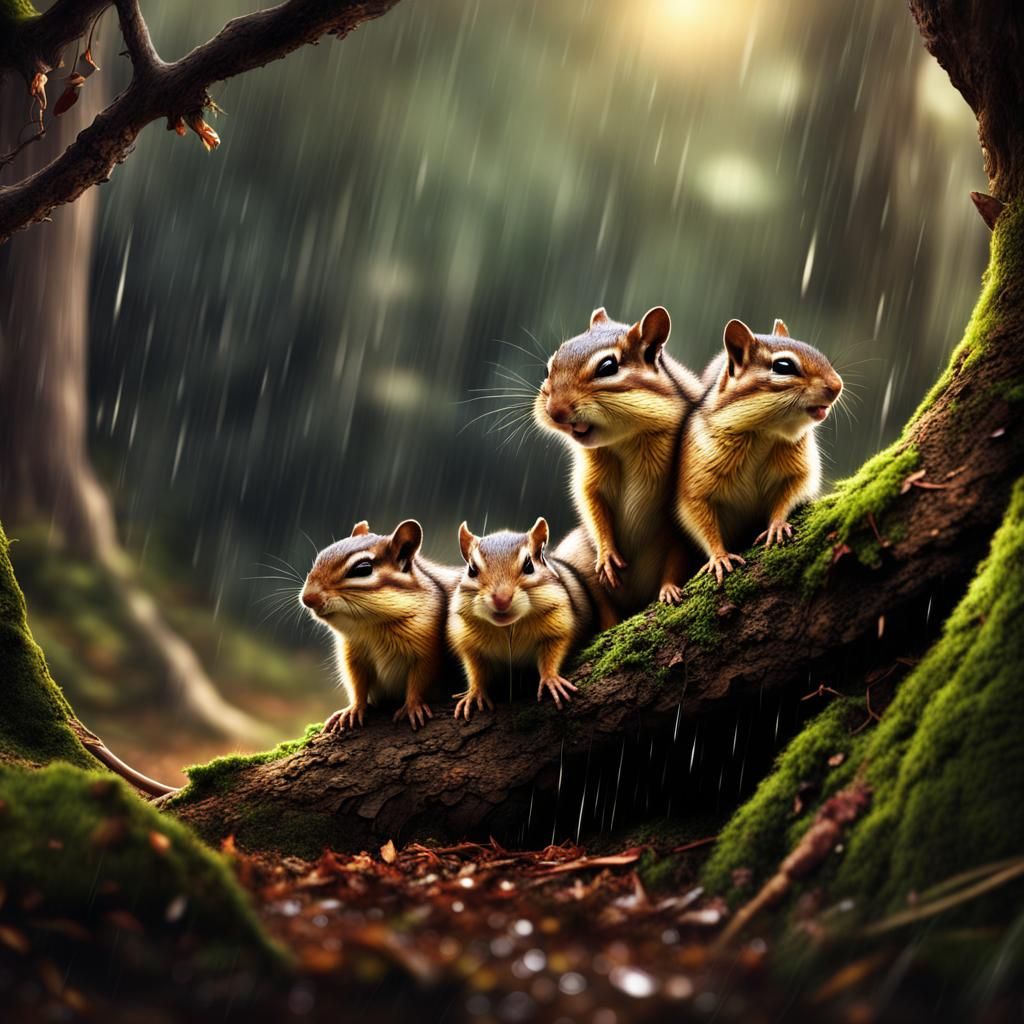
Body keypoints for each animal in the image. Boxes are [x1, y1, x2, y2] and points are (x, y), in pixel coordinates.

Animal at [301, 519, 458, 731]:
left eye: (362, 569)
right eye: (321, 556)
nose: (308, 598)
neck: (371, 627)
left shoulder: (428, 652)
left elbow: (419, 681)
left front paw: (412, 706)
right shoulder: (353, 656)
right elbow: (357, 684)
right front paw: (353, 709)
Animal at [447, 517, 593, 720]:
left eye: (529, 566)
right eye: (472, 570)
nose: (501, 599)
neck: (508, 627)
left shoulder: (558, 625)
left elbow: (552, 654)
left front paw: (551, 679)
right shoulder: (470, 644)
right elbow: (475, 669)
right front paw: (474, 693)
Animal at [534, 306, 702, 613]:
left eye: (608, 367)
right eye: (547, 369)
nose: (555, 411)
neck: (625, 441)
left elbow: (679, 552)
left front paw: (671, 589)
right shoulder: (591, 475)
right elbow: (591, 503)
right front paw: (607, 554)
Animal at [675, 318, 843, 583]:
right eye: (784, 366)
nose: (838, 386)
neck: (764, 433)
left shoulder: (799, 468)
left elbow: (793, 490)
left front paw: (776, 525)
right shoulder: (695, 480)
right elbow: (698, 516)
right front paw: (719, 557)